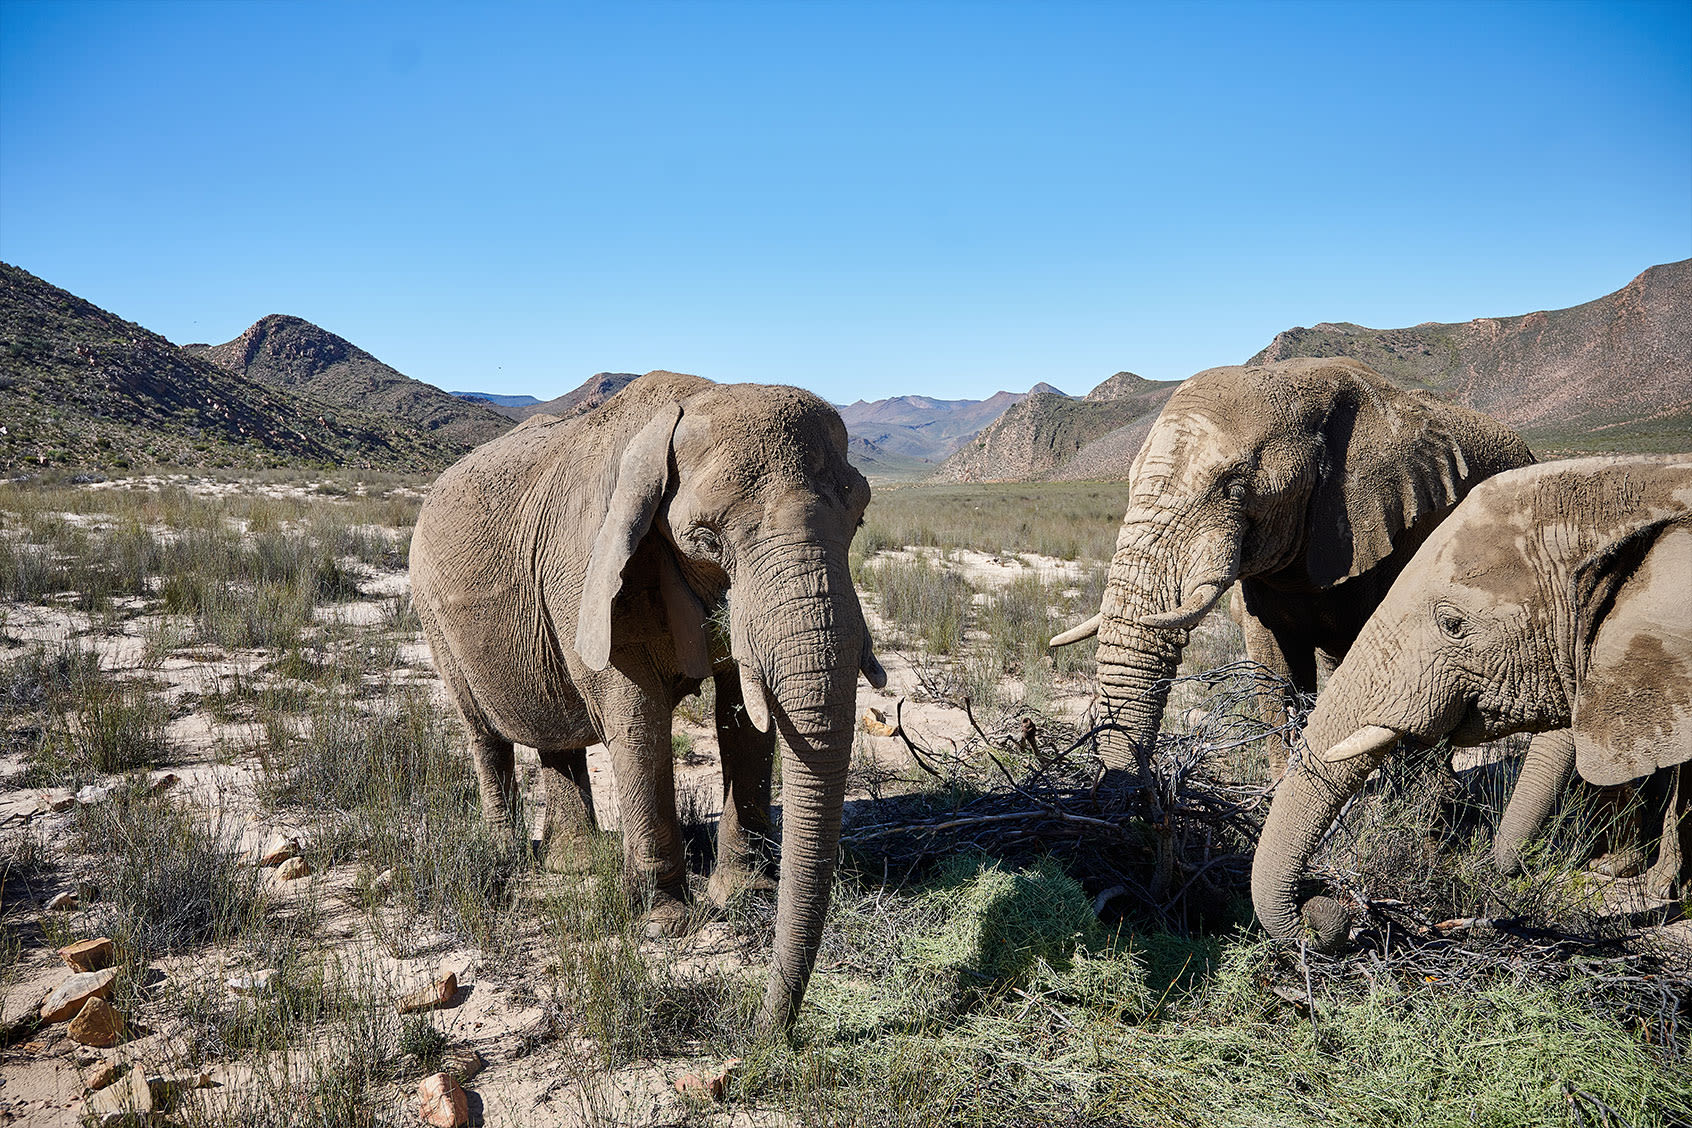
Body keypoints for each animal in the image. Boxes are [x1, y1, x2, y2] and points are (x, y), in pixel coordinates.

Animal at [409, 370, 886, 1034]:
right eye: (706, 537)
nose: (767, 1030)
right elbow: (637, 720)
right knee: (485, 735)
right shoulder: (590, 561)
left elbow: (745, 718)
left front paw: (745, 896)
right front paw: (668, 925)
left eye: (860, 517)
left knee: (560, 741)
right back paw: (512, 858)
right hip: (434, 617)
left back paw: (580, 866)